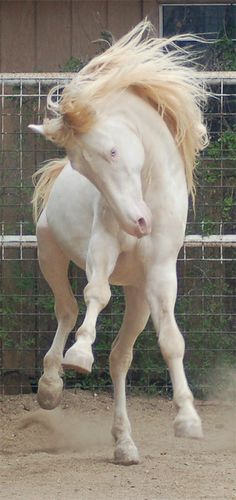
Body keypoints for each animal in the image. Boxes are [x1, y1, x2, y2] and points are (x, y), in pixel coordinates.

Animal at [30, 21, 208, 462]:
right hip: (50, 254)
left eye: (112, 151)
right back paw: (51, 386)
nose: (138, 224)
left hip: (138, 295)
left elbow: (171, 341)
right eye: (82, 167)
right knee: (66, 309)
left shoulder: (161, 274)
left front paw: (187, 420)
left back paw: (124, 443)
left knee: (119, 358)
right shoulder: (103, 248)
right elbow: (96, 294)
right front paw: (79, 355)